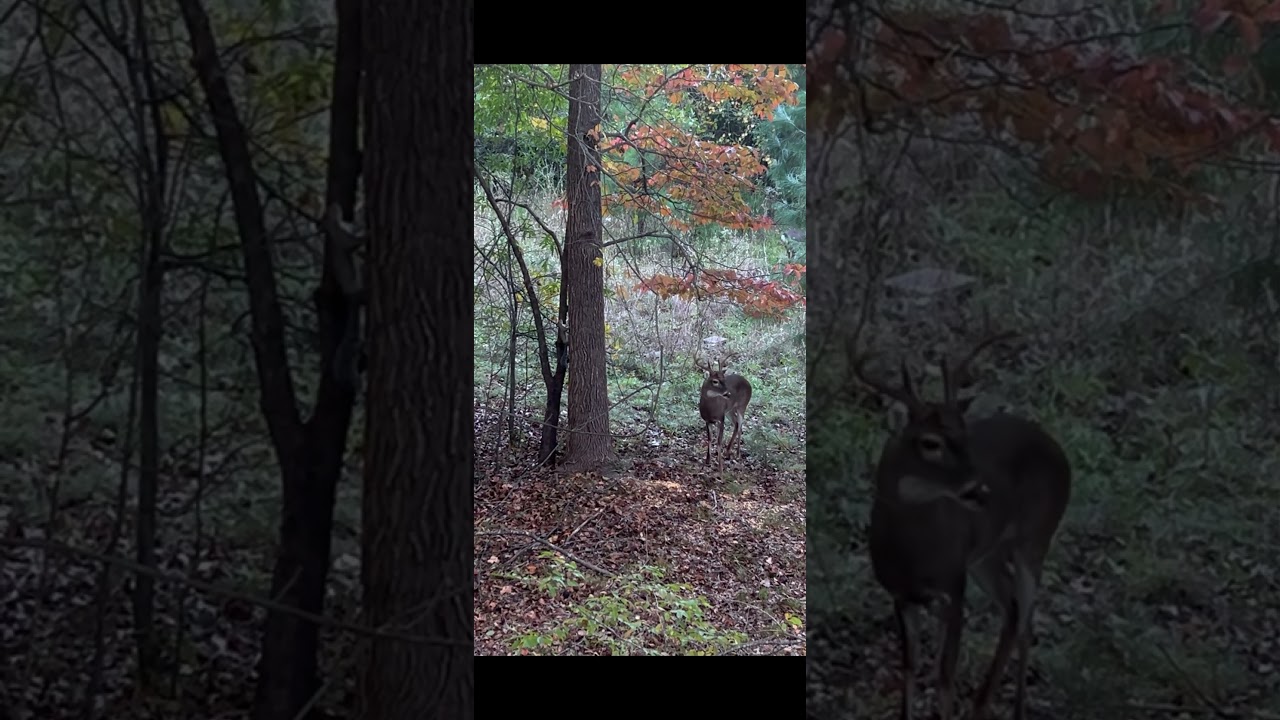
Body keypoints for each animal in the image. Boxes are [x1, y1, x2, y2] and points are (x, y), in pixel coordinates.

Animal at [852, 332, 1071, 720]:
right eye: (930, 442)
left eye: (966, 435)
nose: (980, 489)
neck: (913, 555)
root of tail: (1059, 450)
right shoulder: (900, 594)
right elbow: (910, 665)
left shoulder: (954, 586)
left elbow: (945, 674)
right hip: (987, 554)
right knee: (1013, 609)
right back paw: (981, 704)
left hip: (1036, 537)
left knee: (1027, 618)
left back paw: (1014, 709)